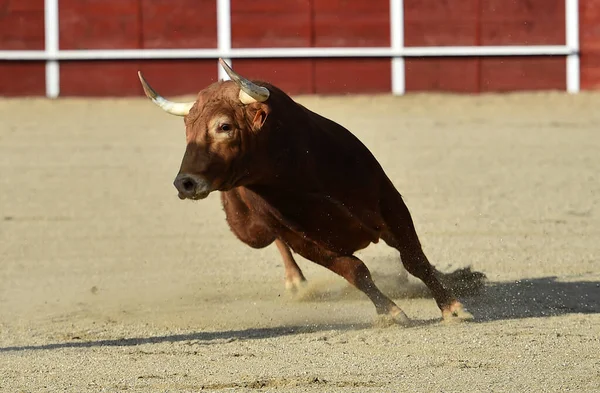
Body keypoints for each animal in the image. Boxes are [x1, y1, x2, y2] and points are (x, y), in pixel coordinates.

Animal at [136, 57, 474, 322]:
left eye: (224, 126)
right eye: (188, 130)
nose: (184, 182)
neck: (296, 175)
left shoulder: (389, 201)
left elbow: (413, 258)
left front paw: (453, 307)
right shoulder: (304, 241)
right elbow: (355, 271)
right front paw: (390, 313)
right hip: (249, 231)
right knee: (273, 241)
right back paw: (296, 282)